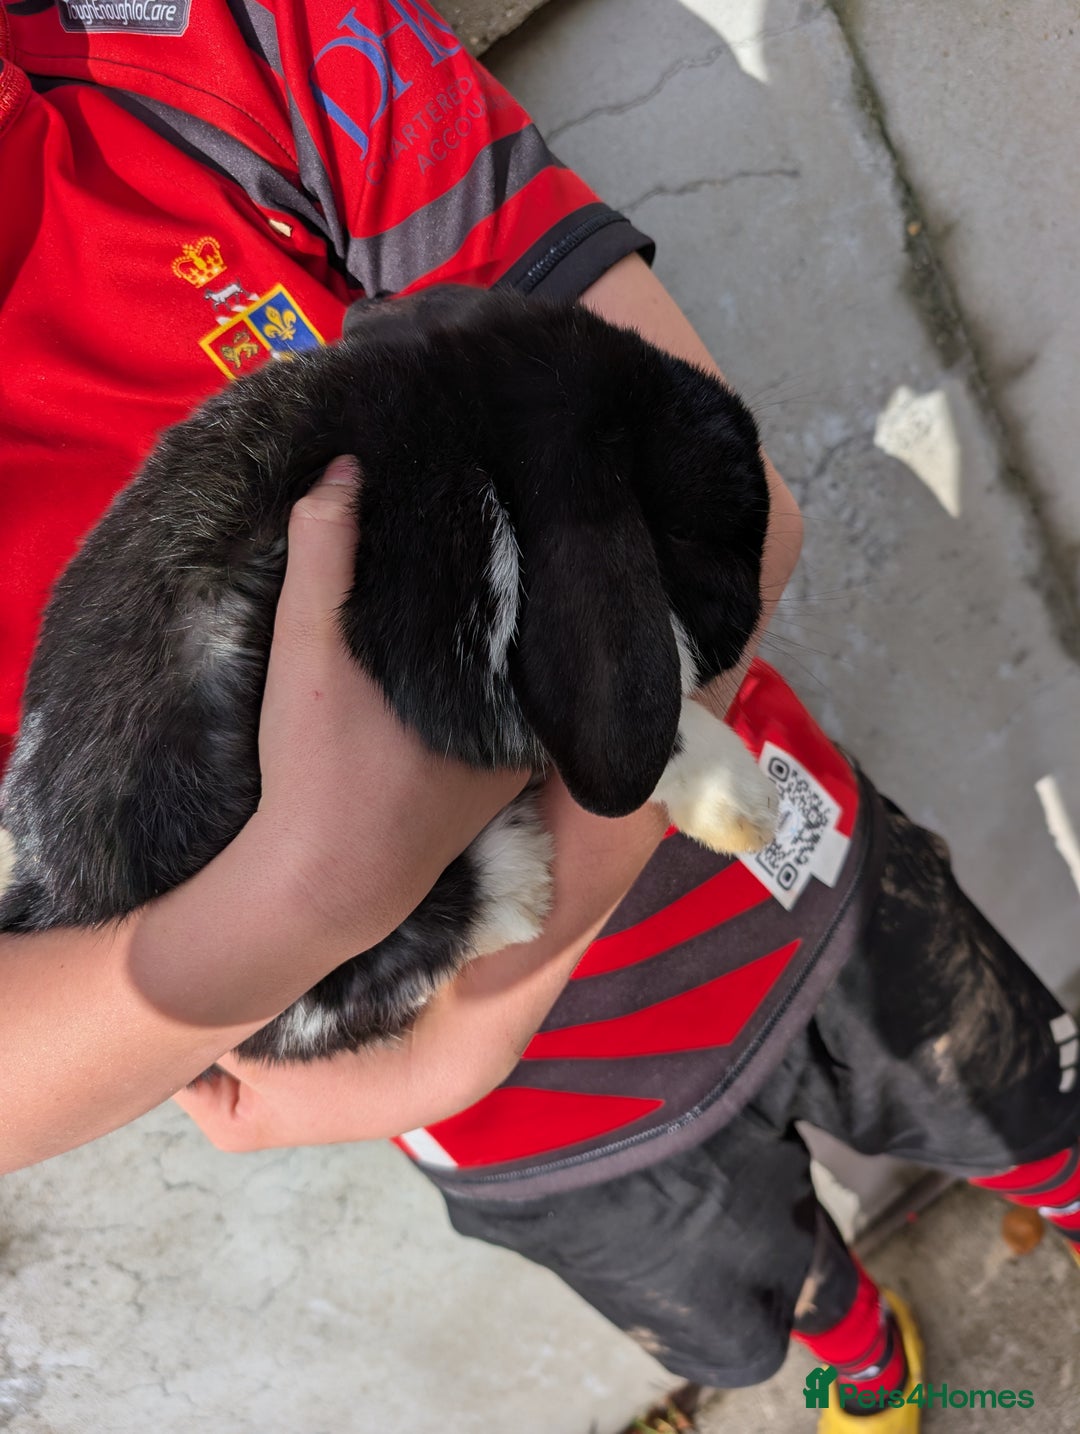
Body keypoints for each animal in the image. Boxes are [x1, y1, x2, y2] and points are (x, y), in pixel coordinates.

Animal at [0, 285, 778, 1062]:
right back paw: (519, 884)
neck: (464, 423)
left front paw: (741, 803)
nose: (754, 605)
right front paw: (742, 806)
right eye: (689, 534)